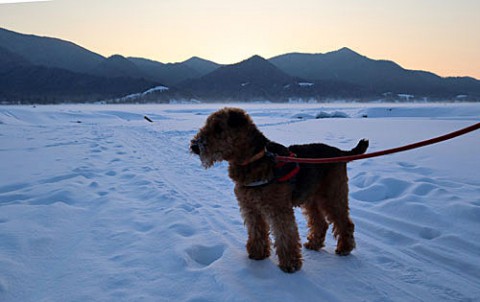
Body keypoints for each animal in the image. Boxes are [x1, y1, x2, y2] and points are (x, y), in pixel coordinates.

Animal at [190, 107, 368, 272]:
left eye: (218, 128)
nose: (194, 146)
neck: (255, 159)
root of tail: (341, 152)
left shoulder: (278, 209)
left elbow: (285, 236)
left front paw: (290, 264)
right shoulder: (250, 208)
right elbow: (256, 231)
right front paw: (257, 253)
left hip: (332, 195)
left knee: (345, 223)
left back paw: (344, 248)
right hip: (311, 199)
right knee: (321, 223)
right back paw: (314, 244)